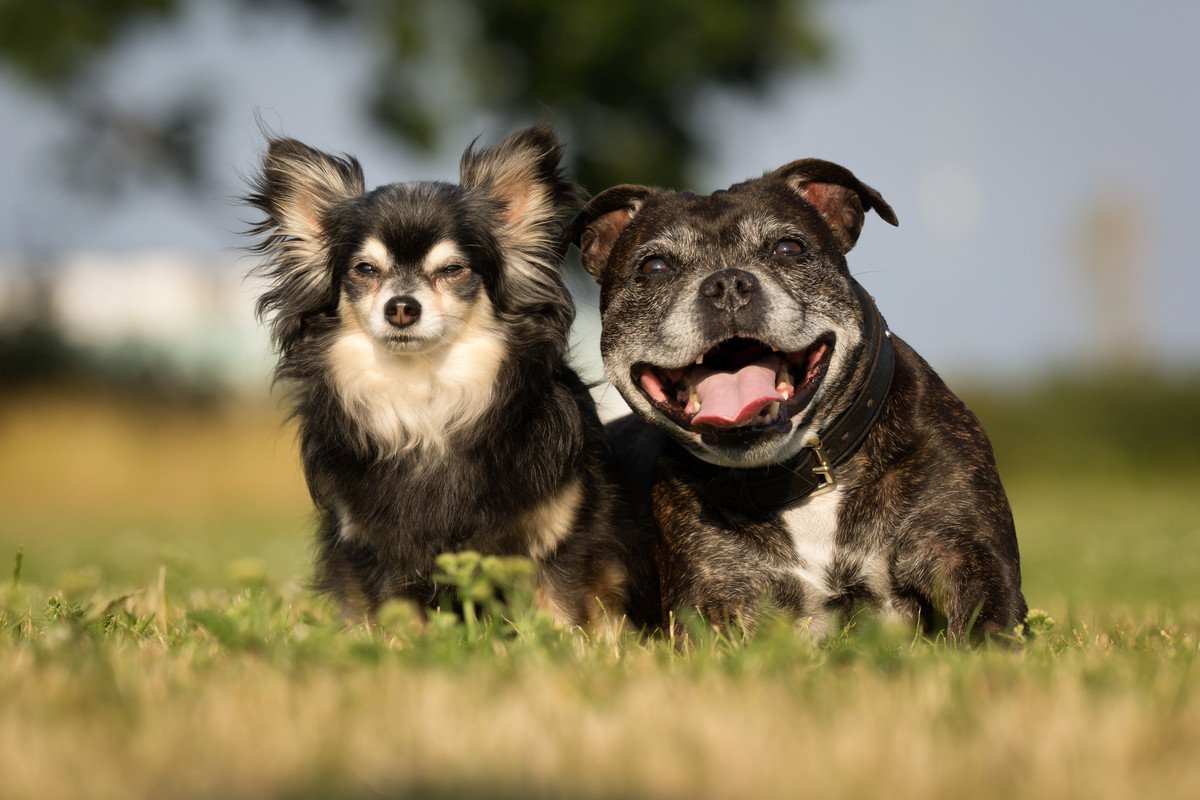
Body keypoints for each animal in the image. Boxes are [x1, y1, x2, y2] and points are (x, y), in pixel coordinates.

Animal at [244, 123, 657, 623]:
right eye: (365, 269)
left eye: (453, 269)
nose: (401, 306)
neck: (427, 391)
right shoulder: (376, 552)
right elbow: (400, 620)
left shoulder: (559, 536)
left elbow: (560, 612)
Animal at [566, 159, 1027, 642]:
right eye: (654, 266)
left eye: (788, 248)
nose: (727, 283)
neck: (802, 474)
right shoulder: (715, 602)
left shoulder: (968, 556)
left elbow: (989, 632)